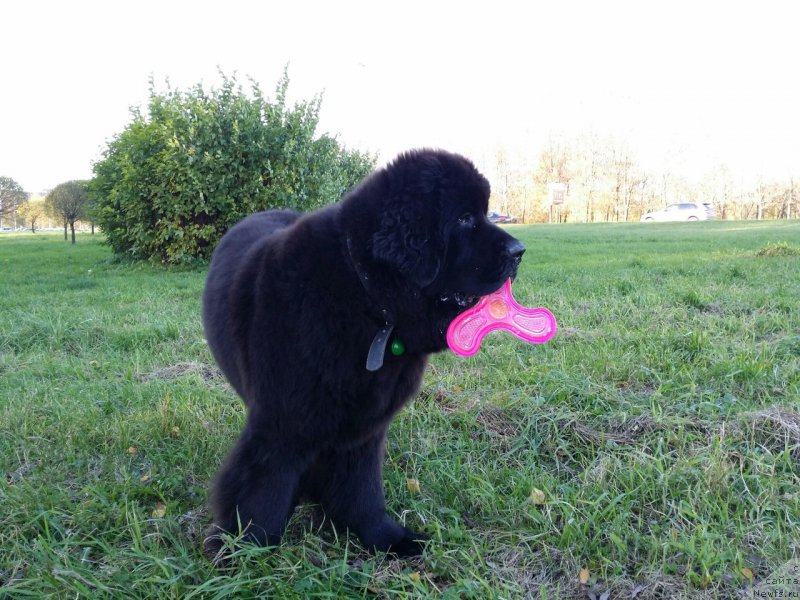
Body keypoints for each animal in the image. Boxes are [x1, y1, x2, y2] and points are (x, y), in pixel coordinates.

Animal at [203, 148, 520, 556]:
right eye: (465, 218)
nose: (520, 251)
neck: (368, 301)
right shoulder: (280, 423)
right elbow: (262, 488)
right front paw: (245, 548)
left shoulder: (364, 427)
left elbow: (362, 488)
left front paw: (386, 538)